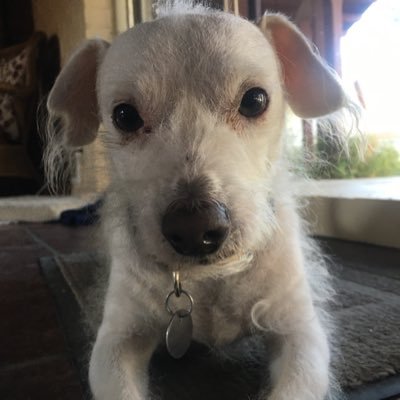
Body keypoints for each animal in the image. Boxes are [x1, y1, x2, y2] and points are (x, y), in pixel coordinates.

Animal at [46, 1, 346, 398]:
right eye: (124, 116)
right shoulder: (115, 342)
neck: (209, 280)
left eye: (255, 100)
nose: (194, 229)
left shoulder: (301, 333)